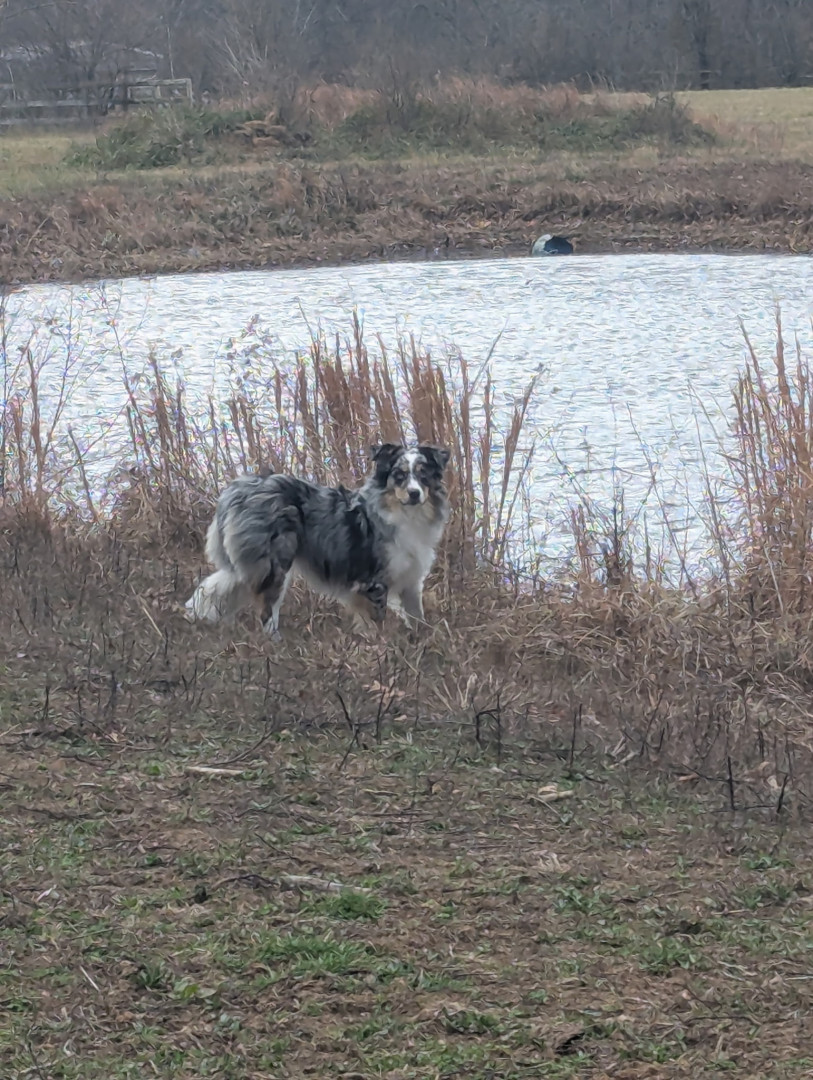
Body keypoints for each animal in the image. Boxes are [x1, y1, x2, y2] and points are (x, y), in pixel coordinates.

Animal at [185, 443, 451, 637]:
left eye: (423, 476)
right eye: (399, 475)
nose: (414, 494)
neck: (407, 515)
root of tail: (239, 488)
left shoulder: (412, 580)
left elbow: (418, 618)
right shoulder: (373, 582)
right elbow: (379, 622)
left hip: (252, 566)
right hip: (276, 566)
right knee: (267, 613)